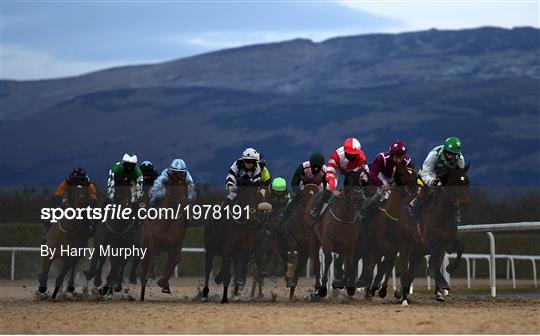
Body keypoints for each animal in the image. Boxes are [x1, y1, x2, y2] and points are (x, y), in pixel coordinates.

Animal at [140, 172, 189, 300]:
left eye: (186, 186)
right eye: (173, 187)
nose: (183, 203)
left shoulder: (176, 243)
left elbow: (177, 259)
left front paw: (163, 282)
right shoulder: (154, 238)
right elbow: (153, 252)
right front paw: (152, 273)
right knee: (143, 273)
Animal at [398, 164, 470, 306]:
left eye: (467, 182)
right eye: (455, 182)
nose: (464, 204)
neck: (442, 214)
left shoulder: (447, 242)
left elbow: (461, 247)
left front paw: (450, 268)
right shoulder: (430, 240)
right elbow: (433, 263)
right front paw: (441, 280)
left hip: (418, 251)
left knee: (411, 273)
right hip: (406, 244)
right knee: (405, 269)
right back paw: (404, 299)